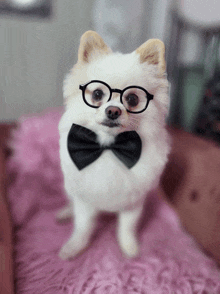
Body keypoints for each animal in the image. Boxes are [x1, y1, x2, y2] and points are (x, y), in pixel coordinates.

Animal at [57, 29, 170, 260]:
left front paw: (129, 247)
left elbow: (126, 227)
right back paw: (64, 212)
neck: (109, 149)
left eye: (133, 99)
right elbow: (82, 226)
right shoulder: (85, 198)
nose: (113, 110)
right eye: (97, 94)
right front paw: (75, 246)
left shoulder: (133, 202)